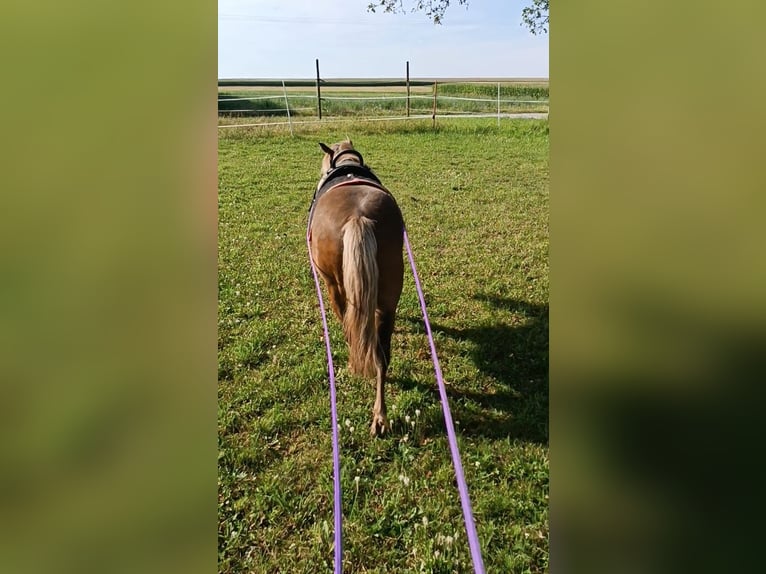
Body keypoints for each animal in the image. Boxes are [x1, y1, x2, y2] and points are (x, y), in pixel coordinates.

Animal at [310, 141, 408, 436]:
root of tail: (358, 217)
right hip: (389, 293)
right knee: (382, 354)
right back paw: (380, 416)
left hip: (334, 285)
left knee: (352, 329)